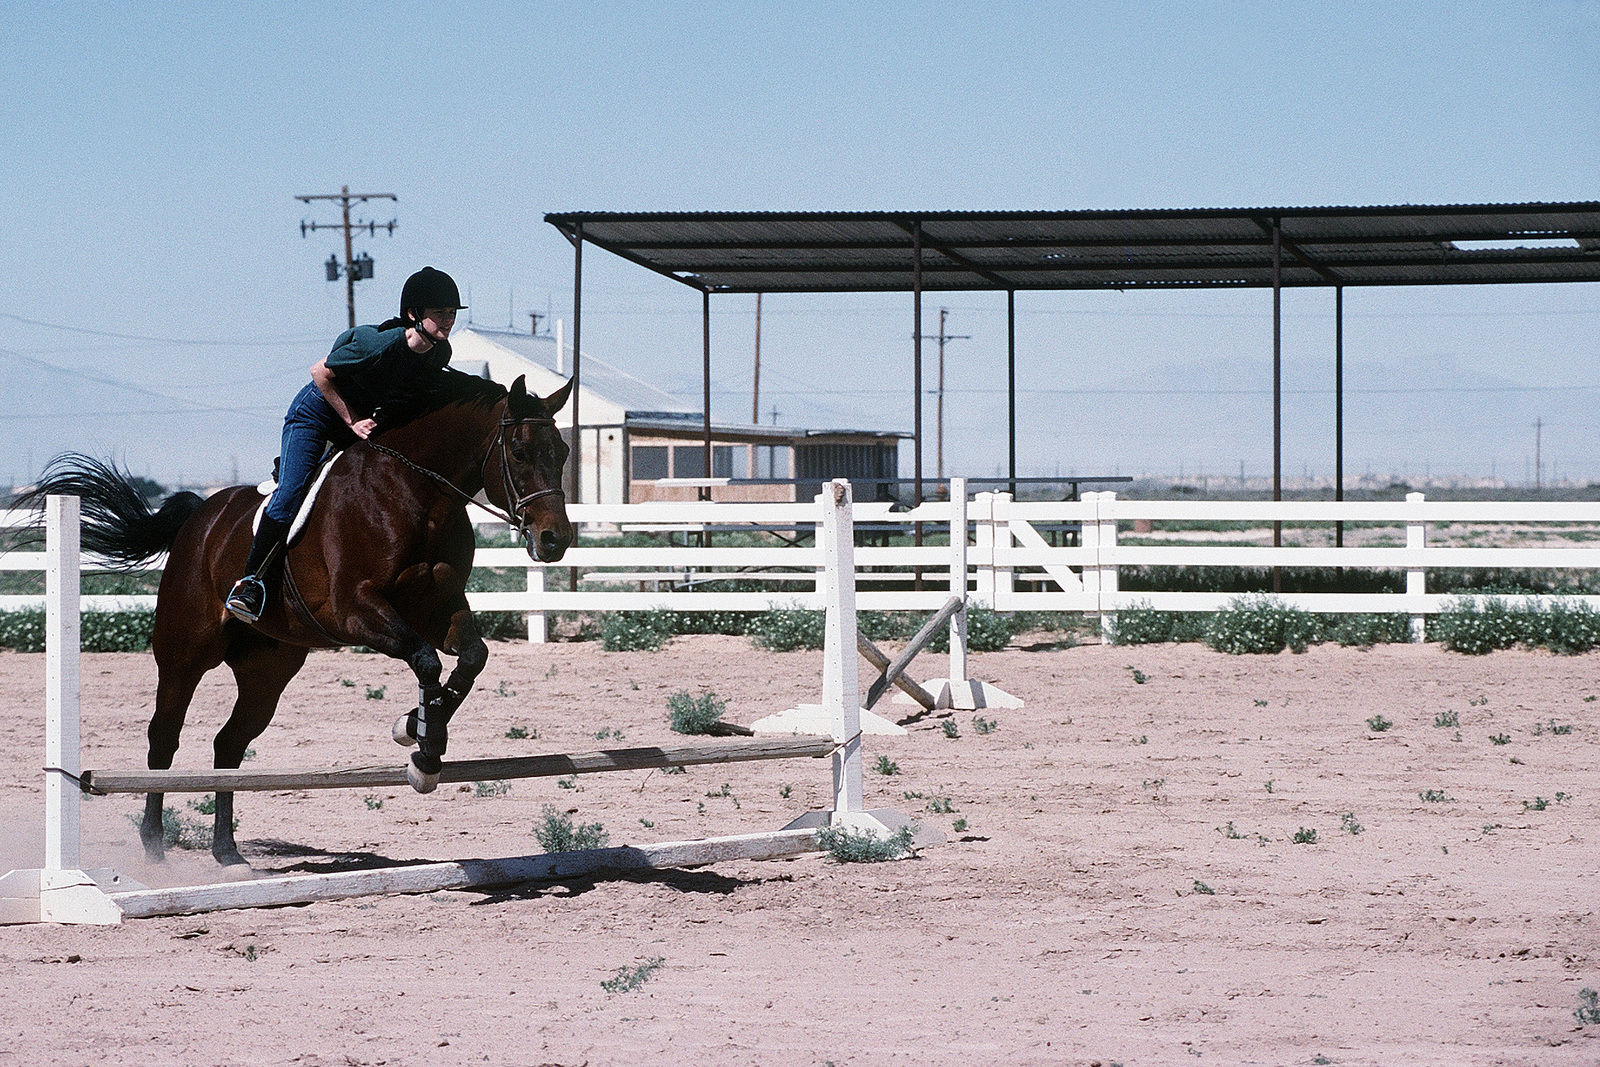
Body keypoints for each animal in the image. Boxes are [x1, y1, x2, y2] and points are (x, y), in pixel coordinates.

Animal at [21, 369, 572, 870]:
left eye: (563, 452)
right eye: (520, 452)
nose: (555, 540)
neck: (418, 493)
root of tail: (200, 517)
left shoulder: (439, 607)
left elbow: (470, 659)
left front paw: (412, 730)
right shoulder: (356, 610)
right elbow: (426, 661)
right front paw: (425, 752)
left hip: (269, 668)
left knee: (229, 746)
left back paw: (227, 853)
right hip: (185, 653)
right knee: (164, 739)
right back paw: (154, 848)